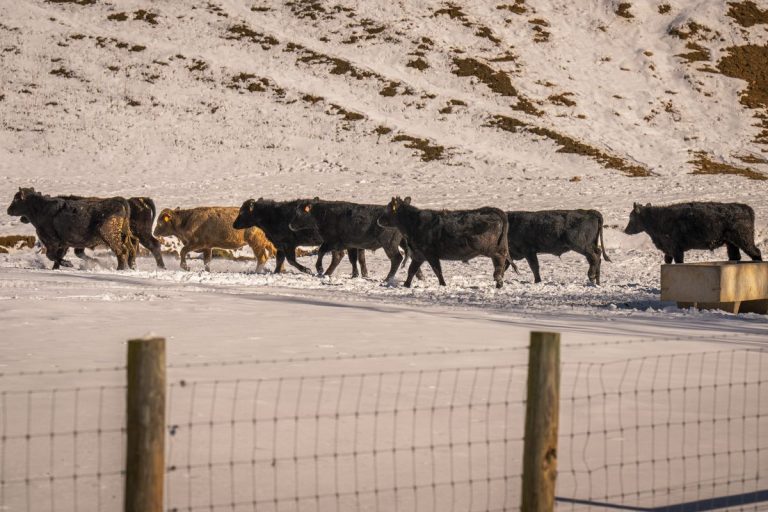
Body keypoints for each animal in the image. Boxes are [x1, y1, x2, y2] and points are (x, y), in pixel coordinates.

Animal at [377, 196, 511, 288]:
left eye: (387, 209)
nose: (378, 220)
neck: (413, 223)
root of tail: (493, 210)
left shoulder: (430, 254)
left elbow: (437, 270)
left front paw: (443, 284)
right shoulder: (418, 254)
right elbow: (411, 270)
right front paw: (406, 285)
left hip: (492, 249)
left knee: (500, 260)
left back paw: (498, 282)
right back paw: (499, 282)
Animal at [624, 202, 762, 263]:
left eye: (631, 218)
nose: (625, 230)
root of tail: (746, 208)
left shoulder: (676, 249)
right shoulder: (668, 251)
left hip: (744, 239)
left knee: (756, 253)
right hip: (731, 243)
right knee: (735, 257)